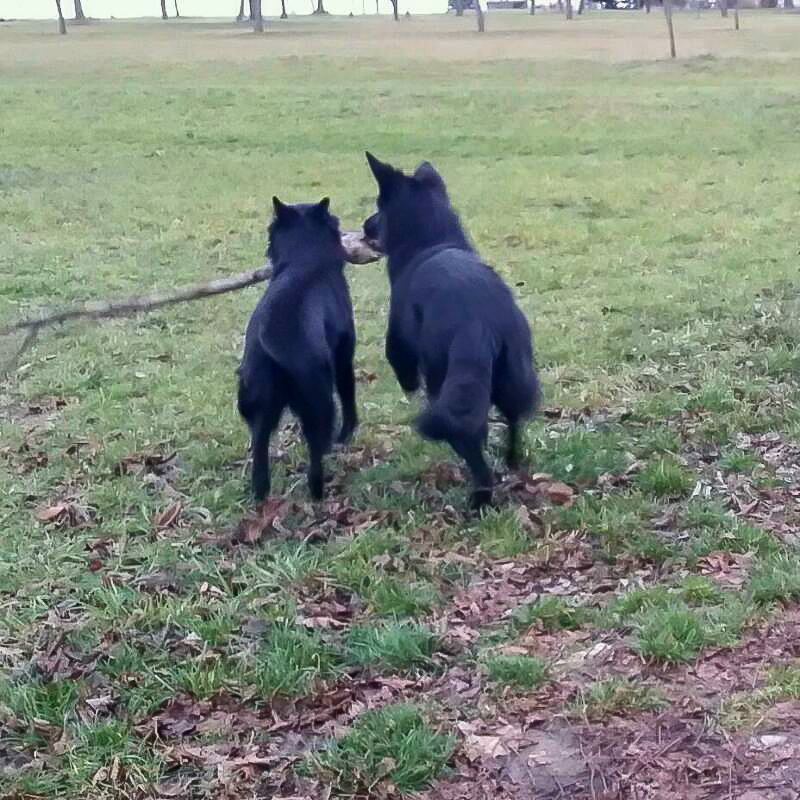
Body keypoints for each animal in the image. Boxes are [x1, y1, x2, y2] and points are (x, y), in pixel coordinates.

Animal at [236, 197, 358, 500]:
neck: (305, 261)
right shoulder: (344, 356)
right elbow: (349, 394)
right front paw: (347, 434)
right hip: (318, 399)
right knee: (315, 452)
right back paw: (318, 491)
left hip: (260, 406)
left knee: (260, 450)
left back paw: (261, 494)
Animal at [366, 153, 540, 510]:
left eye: (378, 208)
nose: (364, 226)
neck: (432, 242)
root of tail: (480, 323)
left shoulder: (399, 346)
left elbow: (402, 369)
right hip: (511, 378)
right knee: (513, 421)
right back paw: (512, 461)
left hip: (446, 382)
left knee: (472, 447)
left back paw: (479, 498)